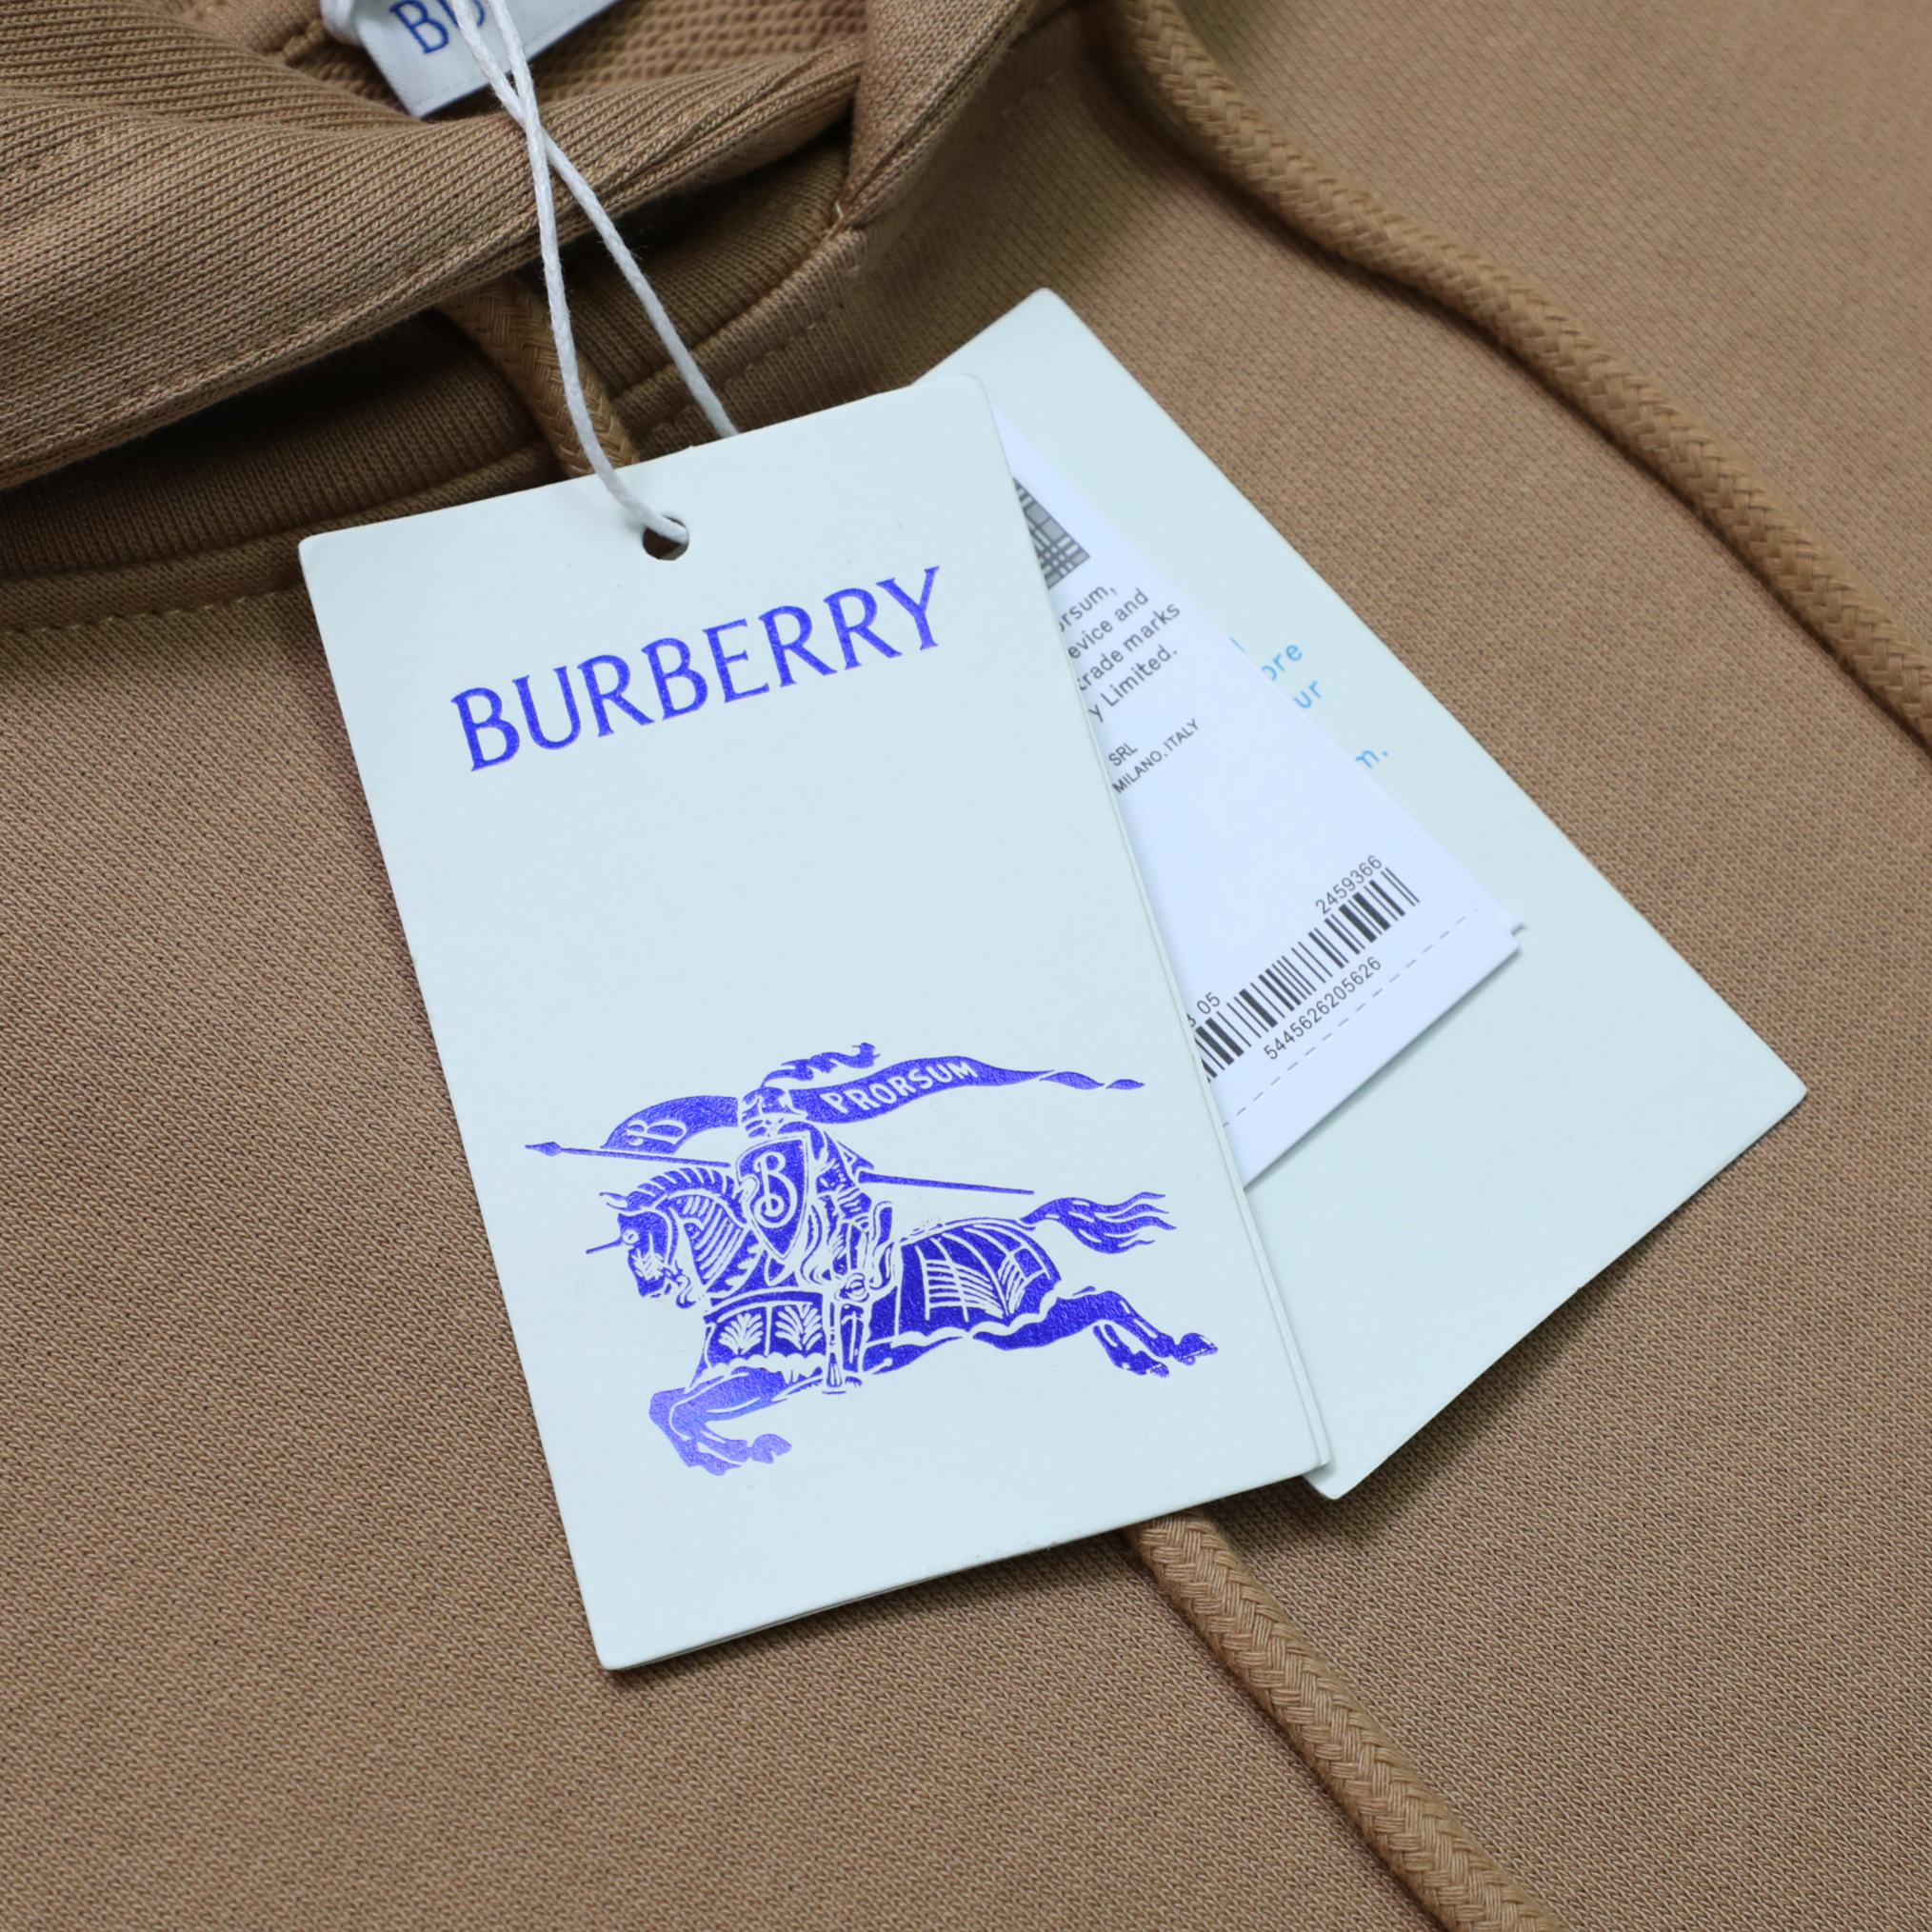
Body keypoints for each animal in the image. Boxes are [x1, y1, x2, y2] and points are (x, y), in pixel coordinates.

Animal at [603, 1164, 1215, 1474]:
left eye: (637, 1238)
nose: (649, 1286)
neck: (754, 1277)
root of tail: (1023, 1221)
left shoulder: (768, 1377)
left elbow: (680, 1411)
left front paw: (739, 1452)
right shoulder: (731, 1379)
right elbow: (664, 1406)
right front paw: (724, 1456)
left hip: (1018, 1324)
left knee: (1105, 1300)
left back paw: (1173, 1347)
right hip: (1024, 1325)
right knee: (1095, 1302)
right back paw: (1140, 1360)